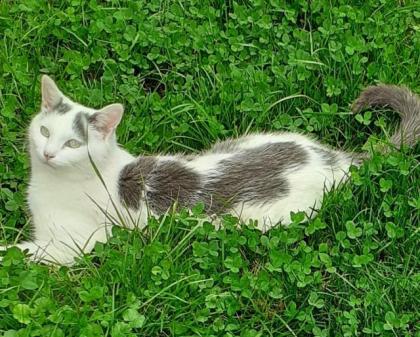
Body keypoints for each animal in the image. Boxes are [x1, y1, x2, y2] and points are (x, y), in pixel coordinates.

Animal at [0, 75, 418, 264]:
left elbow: (20, 252)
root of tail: (339, 159)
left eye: (73, 144)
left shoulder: (74, 246)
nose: (48, 153)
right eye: (44, 131)